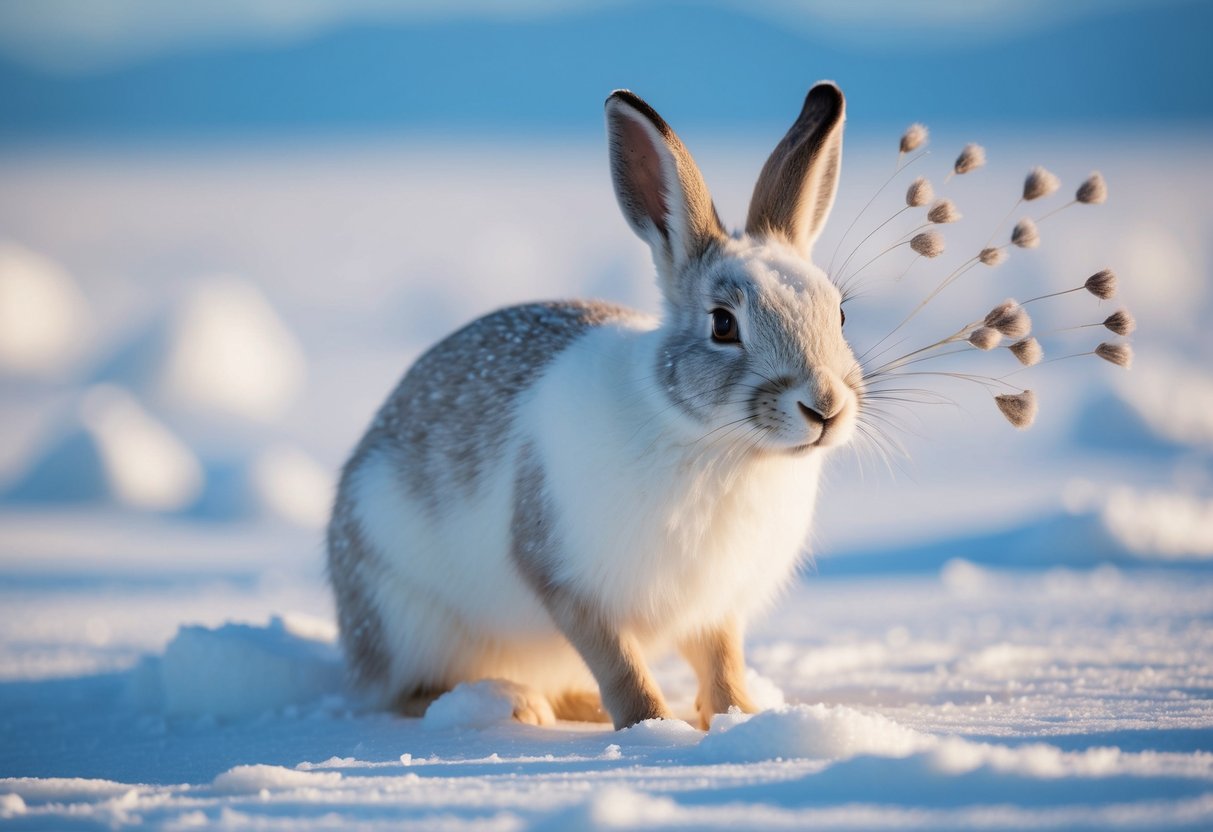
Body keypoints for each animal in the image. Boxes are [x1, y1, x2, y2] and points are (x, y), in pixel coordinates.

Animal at [326, 82, 863, 731]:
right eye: (723, 324)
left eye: (839, 313)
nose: (825, 407)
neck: (716, 443)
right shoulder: (568, 581)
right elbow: (619, 664)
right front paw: (651, 728)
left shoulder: (713, 607)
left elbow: (721, 662)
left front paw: (739, 717)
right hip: (408, 614)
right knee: (409, 690)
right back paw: (513, 706)